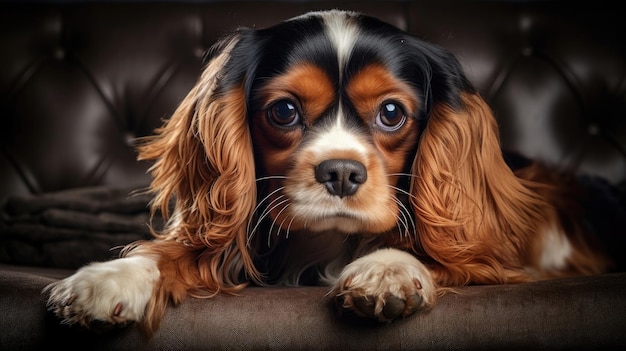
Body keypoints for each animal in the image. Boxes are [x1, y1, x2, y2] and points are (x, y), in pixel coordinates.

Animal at [45, 9, 608, 336]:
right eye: (284, 111)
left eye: (391, 113)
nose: (340, 172)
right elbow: (173, 253)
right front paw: (109, 279)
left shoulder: (490, 259)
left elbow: (435, 250)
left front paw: (387, 270)